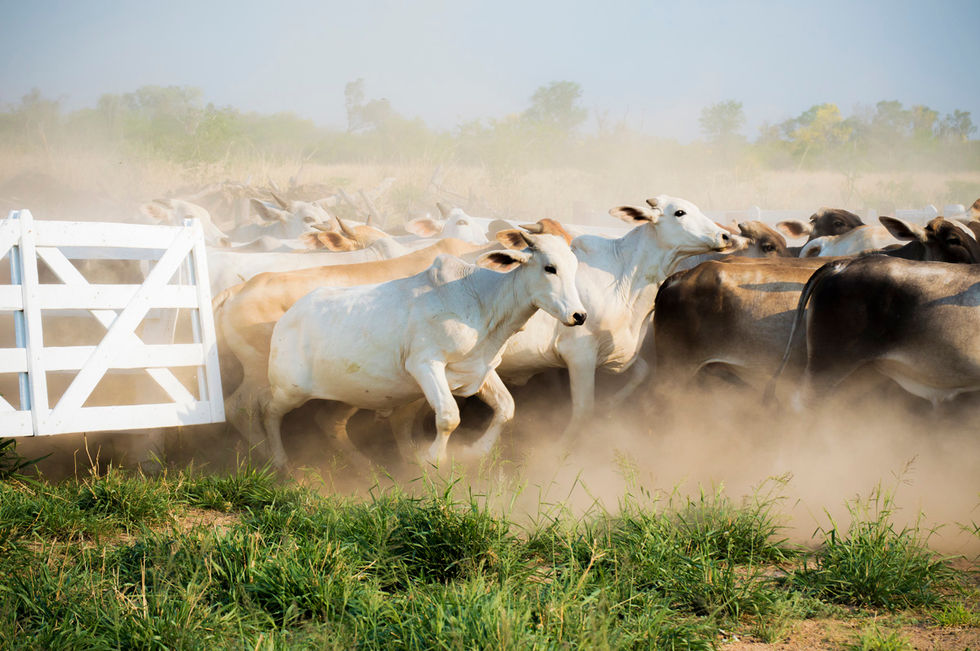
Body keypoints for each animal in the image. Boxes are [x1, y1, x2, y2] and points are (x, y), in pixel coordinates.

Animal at [261, 231, 587, 468]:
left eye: (573, 268)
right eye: (549, 268)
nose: (579, 315)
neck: (484, 301)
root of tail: (287, 319)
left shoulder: (479, 369)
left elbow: (506, 408)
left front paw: (472, 451)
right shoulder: (425, 364)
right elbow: (448, 416)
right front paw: (432, 459)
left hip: (352, 392)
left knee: (330, 422)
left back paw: (363, 464)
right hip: (289, 389)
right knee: (268, 411)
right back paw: (279, 462)